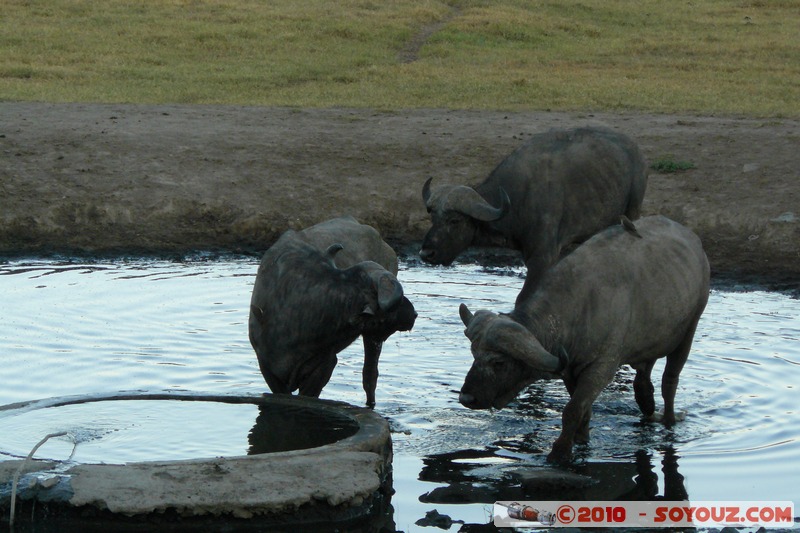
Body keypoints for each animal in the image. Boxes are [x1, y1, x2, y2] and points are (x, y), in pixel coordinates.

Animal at [247, 214, 416, 406]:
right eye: (397, 305)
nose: (413, 314)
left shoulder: (325, 365)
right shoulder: (267, 367)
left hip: (373, 339)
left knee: (370, 376)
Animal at [422, 127, 648, 298]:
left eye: (454, 220)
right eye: (433, 217)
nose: (426, 254)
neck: (517, 200)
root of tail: (636, 151)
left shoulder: (542, 257)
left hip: (633, 210)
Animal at [454, 215, 708, 462]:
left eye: (499, 362)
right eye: (473, 355)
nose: (467, 397)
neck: (580, 307)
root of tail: (693, 240)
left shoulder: (601, 368)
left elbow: (573, 409)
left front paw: (560, 452)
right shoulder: (570, 369)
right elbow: (584, 410)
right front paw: (582, 439)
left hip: (689, 331)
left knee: (669, 382)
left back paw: (669, 420)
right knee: (643, 379)